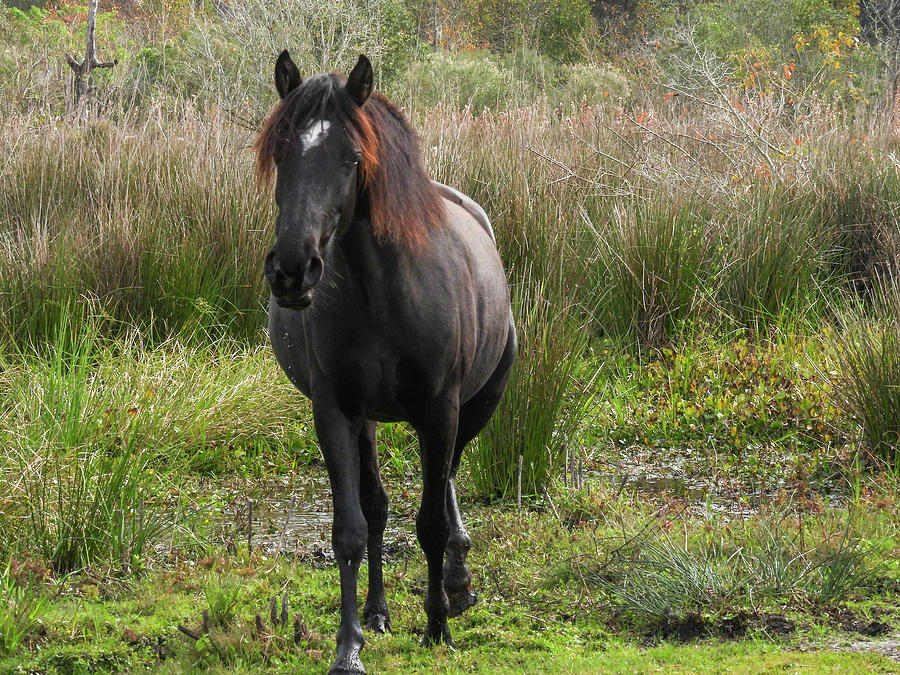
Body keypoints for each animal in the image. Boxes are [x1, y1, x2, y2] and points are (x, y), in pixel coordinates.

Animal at [253, 50, 516, 672]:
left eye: (352, 158)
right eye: (280, 152)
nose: (292, 270)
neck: (382, 293)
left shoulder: (441, 411)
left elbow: (431, 523)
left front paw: (438, 626)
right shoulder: (335, 411)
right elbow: (350, 528)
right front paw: (349, 644)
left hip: (476, 408)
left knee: (448, 480)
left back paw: (456, 583)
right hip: (367, 419)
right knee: (376, 507)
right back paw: (377, 611)